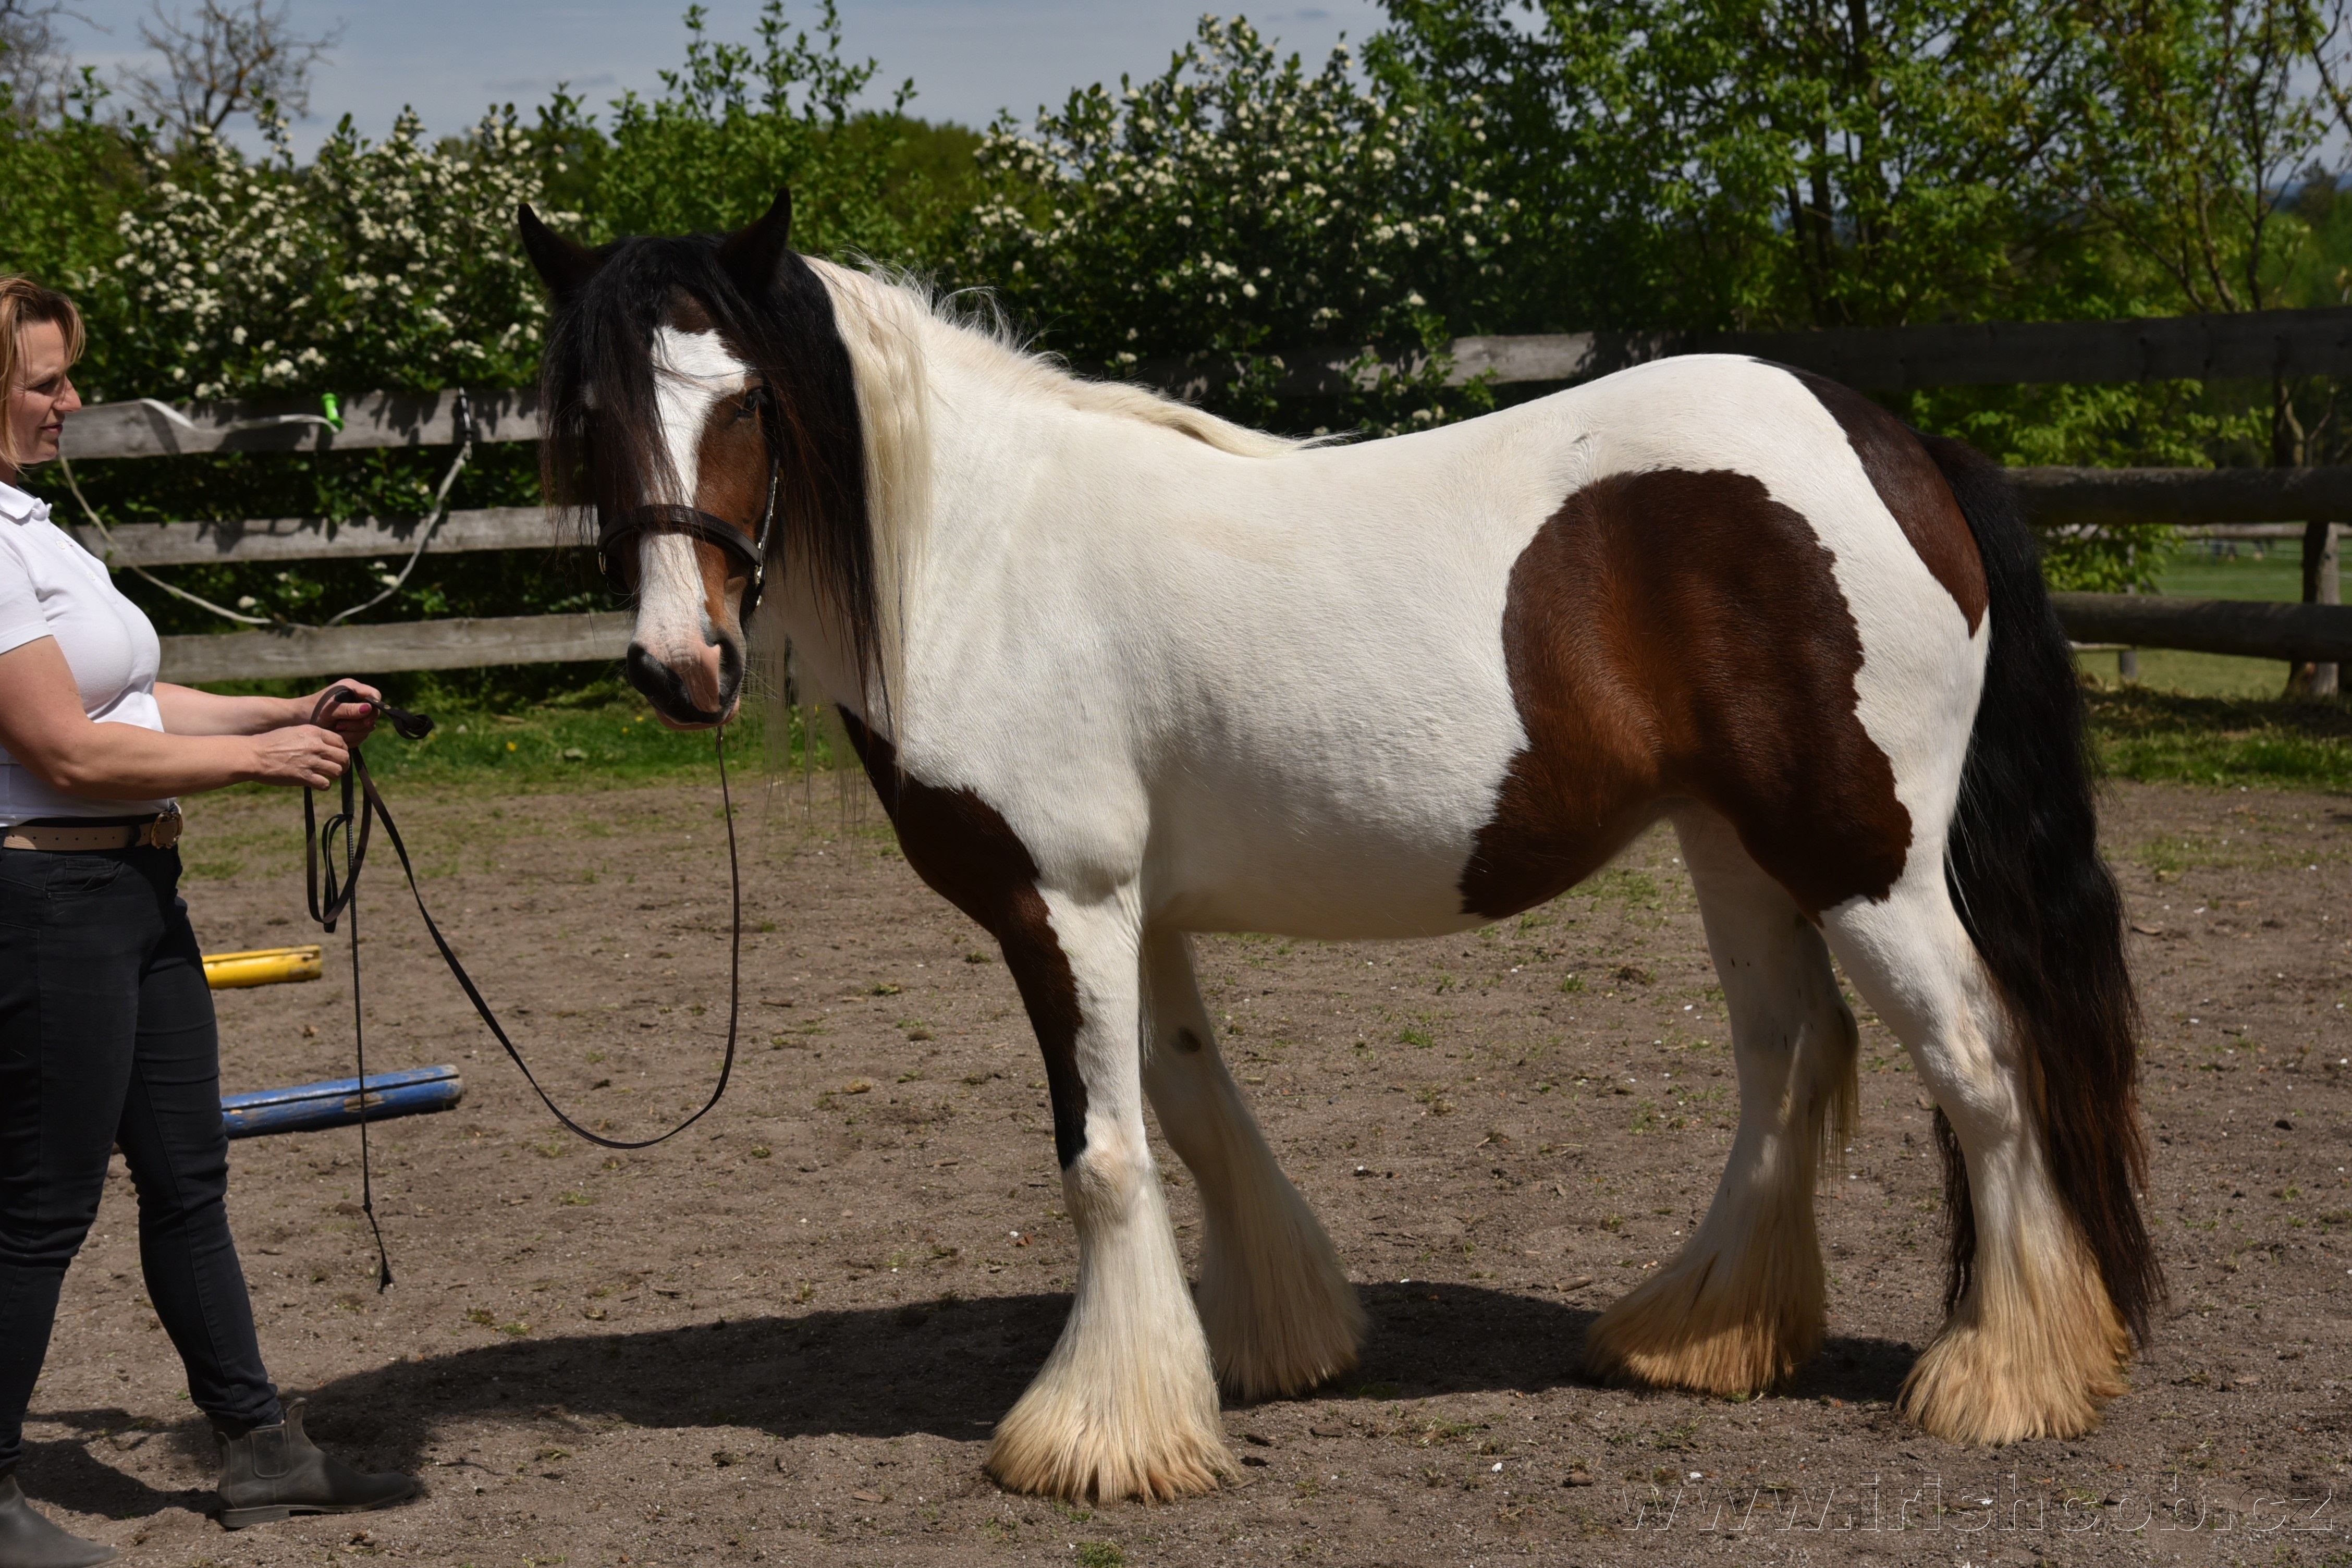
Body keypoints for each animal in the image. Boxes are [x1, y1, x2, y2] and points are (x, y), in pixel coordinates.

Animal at [516, 189, 2160, 1503]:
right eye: (591, 414)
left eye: (747, 402)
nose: (679, 665)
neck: (981, 556)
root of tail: (1894, 440)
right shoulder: (1139, 915)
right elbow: (1190, 1111)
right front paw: (1262, 1347)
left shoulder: (1064, 904)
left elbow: (1102, 1152)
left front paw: (1095, 1438)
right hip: (1737, 849)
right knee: (1790, 1059)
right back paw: (1700, 1334)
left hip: (1863, 859)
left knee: (1980, 1061)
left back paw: (2002, 1377)